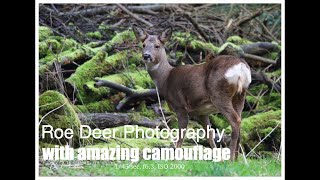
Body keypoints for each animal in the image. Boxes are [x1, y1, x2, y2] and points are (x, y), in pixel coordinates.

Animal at [131, 25, 251, 160]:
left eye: (157, 45)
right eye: (143, 45)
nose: (146, 56)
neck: (165, 79)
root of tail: (241, 68)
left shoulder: (180, 106)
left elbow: (181, 134)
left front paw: (175, 158)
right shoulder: (202, 112)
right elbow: (209, 135)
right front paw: (217, 158)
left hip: (219, 94)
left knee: (235, 121)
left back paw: (231, 159)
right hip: (240, 96)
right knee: (240, 121)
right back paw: (237, 159)